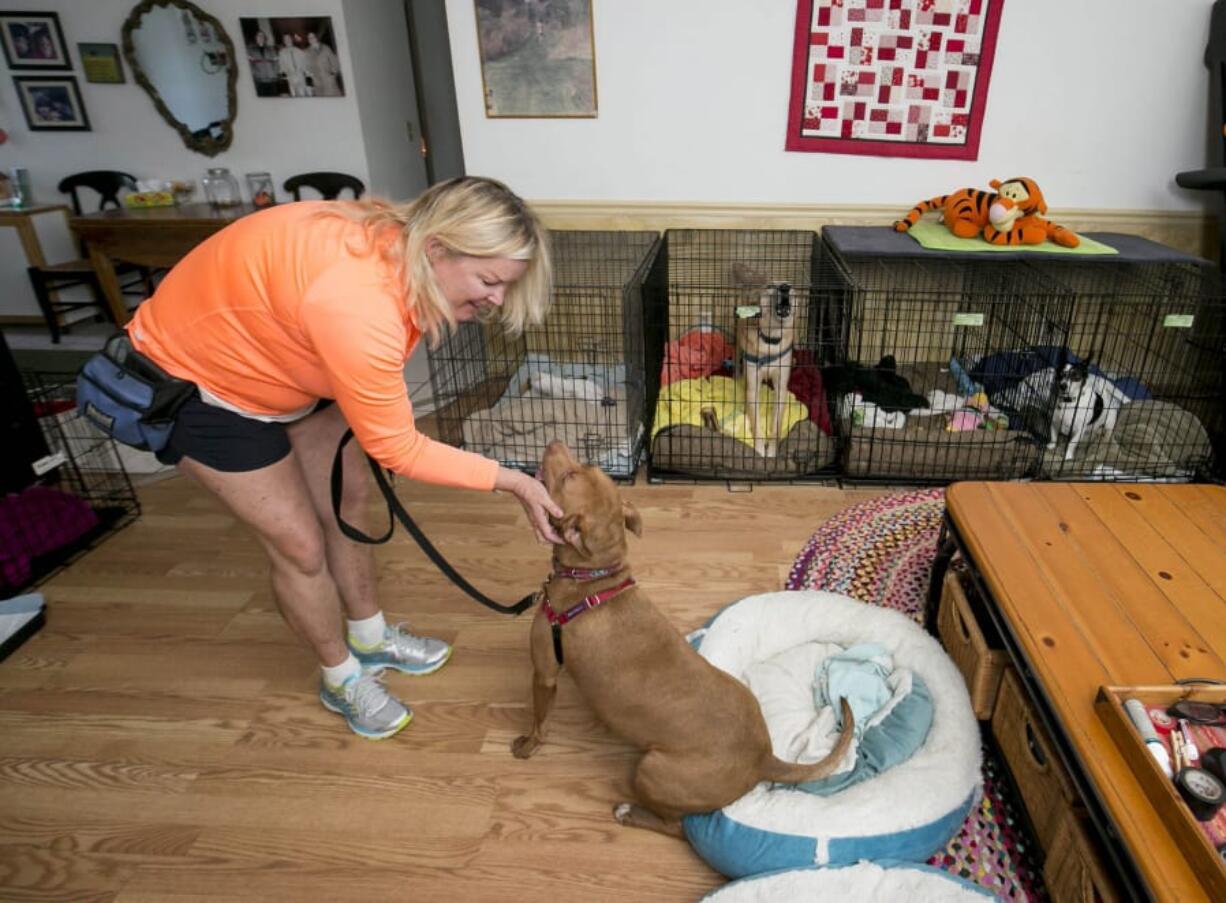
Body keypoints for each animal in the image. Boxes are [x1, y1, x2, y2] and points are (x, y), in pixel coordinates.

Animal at [510, 441, 853, 833]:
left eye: (568, 476)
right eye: (584, 467)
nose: (554, 444)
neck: (594, 576)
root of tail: (763, 757)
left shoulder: (545, 673)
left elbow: (538, 719)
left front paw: (527, 746)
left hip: (651, 768)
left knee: (673, 825)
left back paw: (629, 813)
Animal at [730, 260, 799, 458]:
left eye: (791, 285)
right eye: (770, 287)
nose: (784, 288)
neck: (771, 340)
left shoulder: (781, 389)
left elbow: (776, 425)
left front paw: (772, 450)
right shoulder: (753, 387)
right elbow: (756, 423)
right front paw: (760, 449)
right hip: (738, 345)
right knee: (737, 366)